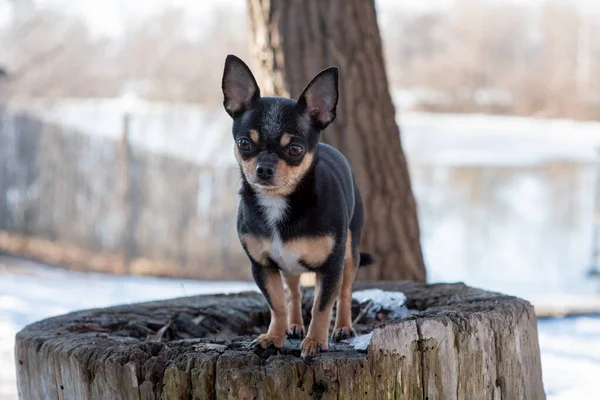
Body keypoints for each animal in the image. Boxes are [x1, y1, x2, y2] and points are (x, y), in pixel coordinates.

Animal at [221, 54, 370, 358]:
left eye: (295, 150)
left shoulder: (331, 267)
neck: (279, 201)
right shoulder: (262, 266)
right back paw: (293, 326)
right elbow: (277, 304)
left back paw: (343, 328)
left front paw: (315, 341)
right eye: (244, 143)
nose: (264, 169)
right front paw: (273, 336)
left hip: (351, 252)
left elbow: (322, 306)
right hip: (288, 265)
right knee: (293, 291)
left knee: (345, 292)